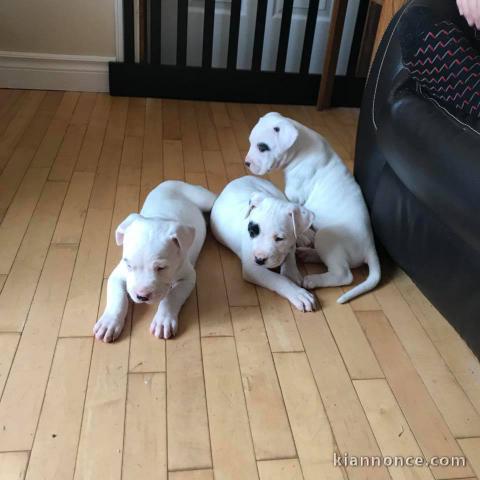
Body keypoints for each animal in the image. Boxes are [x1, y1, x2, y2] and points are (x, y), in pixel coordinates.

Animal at [93, 180, 216, 342]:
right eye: (129, 265)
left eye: (161, 268)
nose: (142, 296)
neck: (159, 217)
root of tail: (179, 181)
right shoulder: (117, 275)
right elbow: (118, 298)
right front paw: (108, 323)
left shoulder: (188, 277)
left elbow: (172, 296)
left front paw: (163, 321)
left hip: (204, 199)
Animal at [211, 175, 316, 312]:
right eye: (252, 232)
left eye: (279, 239)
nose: (259, 260)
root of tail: (245, 177)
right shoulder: (253, 269)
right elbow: (278, 279)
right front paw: (298, 293)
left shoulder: (289, 243)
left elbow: (290, 252)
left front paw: (291, 272)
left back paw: (305, 234)